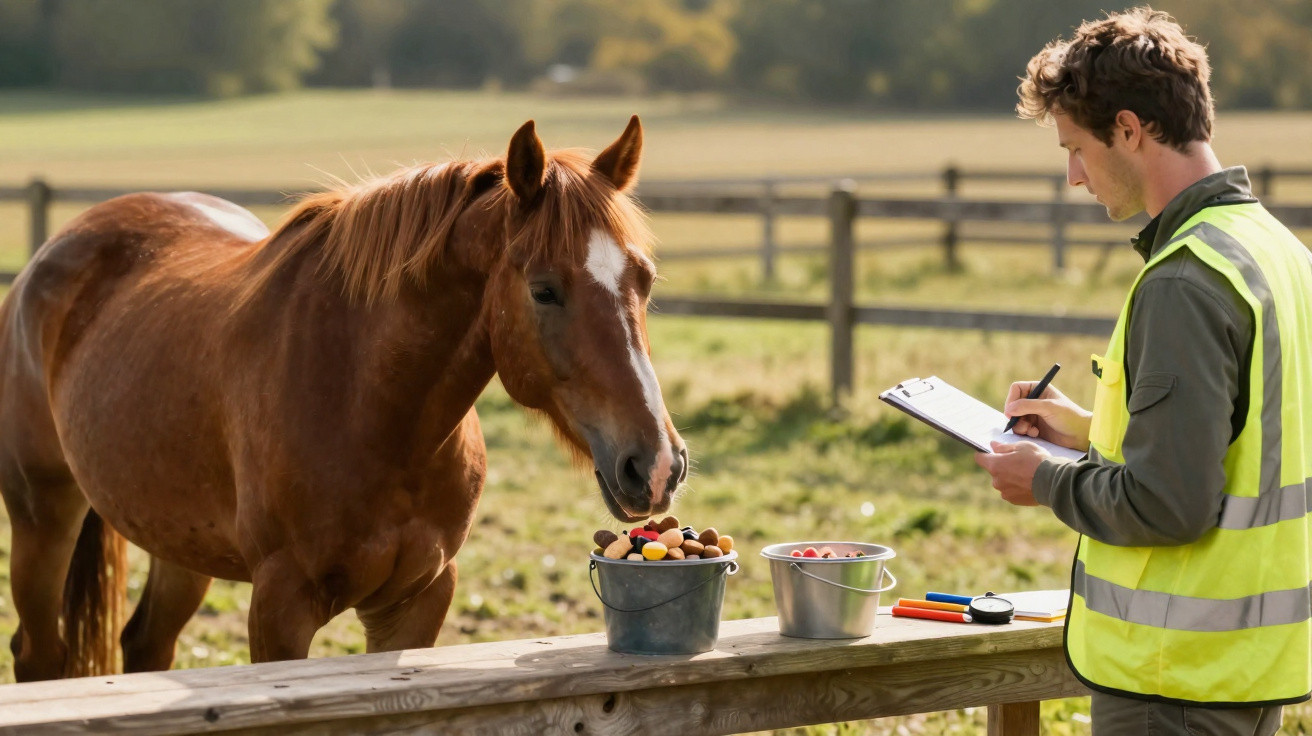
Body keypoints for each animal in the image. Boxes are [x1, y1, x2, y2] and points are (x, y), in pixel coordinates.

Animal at [0, 116, 687, 680]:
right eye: (544, 289)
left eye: (645, 279)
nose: (655, 465)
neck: (371, 408)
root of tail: (54, 253)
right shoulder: (279, 607)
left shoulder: (416, 602)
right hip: (43, 516)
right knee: (39, 655)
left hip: (179, 542)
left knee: (145, 645)